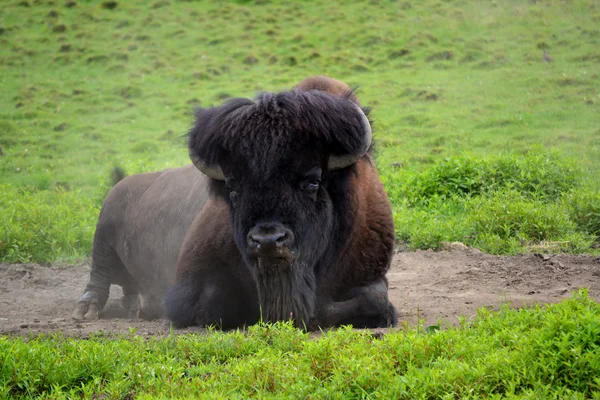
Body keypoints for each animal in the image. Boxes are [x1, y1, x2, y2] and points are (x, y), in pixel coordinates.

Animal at [71, 76, 398, 332]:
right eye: (232, 186)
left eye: (313, 180)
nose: (267, 240)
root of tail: (122, 184)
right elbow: (214, 302)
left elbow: (374, 300)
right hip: (104, 233)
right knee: (98, 276)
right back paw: (90, 310)